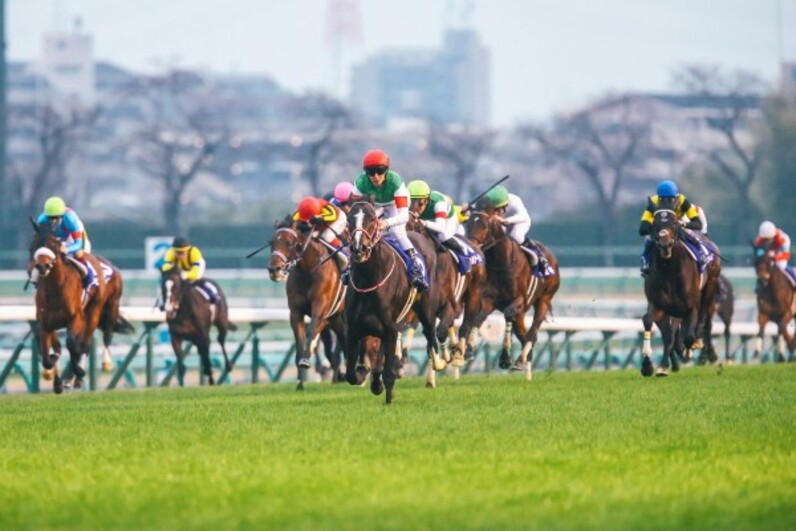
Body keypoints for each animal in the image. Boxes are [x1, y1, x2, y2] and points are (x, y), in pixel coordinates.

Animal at [28, 218, 133, 392]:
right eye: (34, 243)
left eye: (54, 243)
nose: (42, 266)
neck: (55, 288)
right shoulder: (45, 323)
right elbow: (47, 354)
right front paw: (54, 376)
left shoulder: (76, 318)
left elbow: (72, 344)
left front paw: (78, 371)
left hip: (99, 310)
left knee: (89, 342)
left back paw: (98, 366)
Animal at [268, 219, 346, 390]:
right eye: (271, 242)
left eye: (290, 243)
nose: (274, 269)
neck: (308, 270)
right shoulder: (296, 311)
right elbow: (300, 338)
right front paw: (300, 382)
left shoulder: (320, 309)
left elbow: (311, 333)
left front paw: (305, 361)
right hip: (337, 319)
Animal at [346, 202, 448, 406]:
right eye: (349, 219)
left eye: (372, 219)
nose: (359, 248)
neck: (368, 282)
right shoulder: (354, 329)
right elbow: (351, 375)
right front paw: (367, 377)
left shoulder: (391, 329)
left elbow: (387, 374)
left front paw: (388, 397)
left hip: (426, 310)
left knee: (430, 334)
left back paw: (438, 363)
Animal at [464, 208, 564, 378]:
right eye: (467, 224)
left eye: (484, 226)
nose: (472, 246)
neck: (501, 263)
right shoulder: (489, 300)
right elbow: (478, 318)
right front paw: (469, 351)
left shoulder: (519, 300)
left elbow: (508, 314)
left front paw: (505, 358)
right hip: (522, 312)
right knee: (524, 334)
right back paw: (526, 358)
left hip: (544, 299)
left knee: (532, 332)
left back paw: (520, 360)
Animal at [640, 210, 720, 376]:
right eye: (655, 225)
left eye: (674, 224)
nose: (665, 244)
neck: (669, 271)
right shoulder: (659, 306)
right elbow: (650, 322)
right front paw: (649, 366)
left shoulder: (690, 306)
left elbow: (687, 336)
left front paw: (688, 351)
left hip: (710, 286)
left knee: (705, 320)